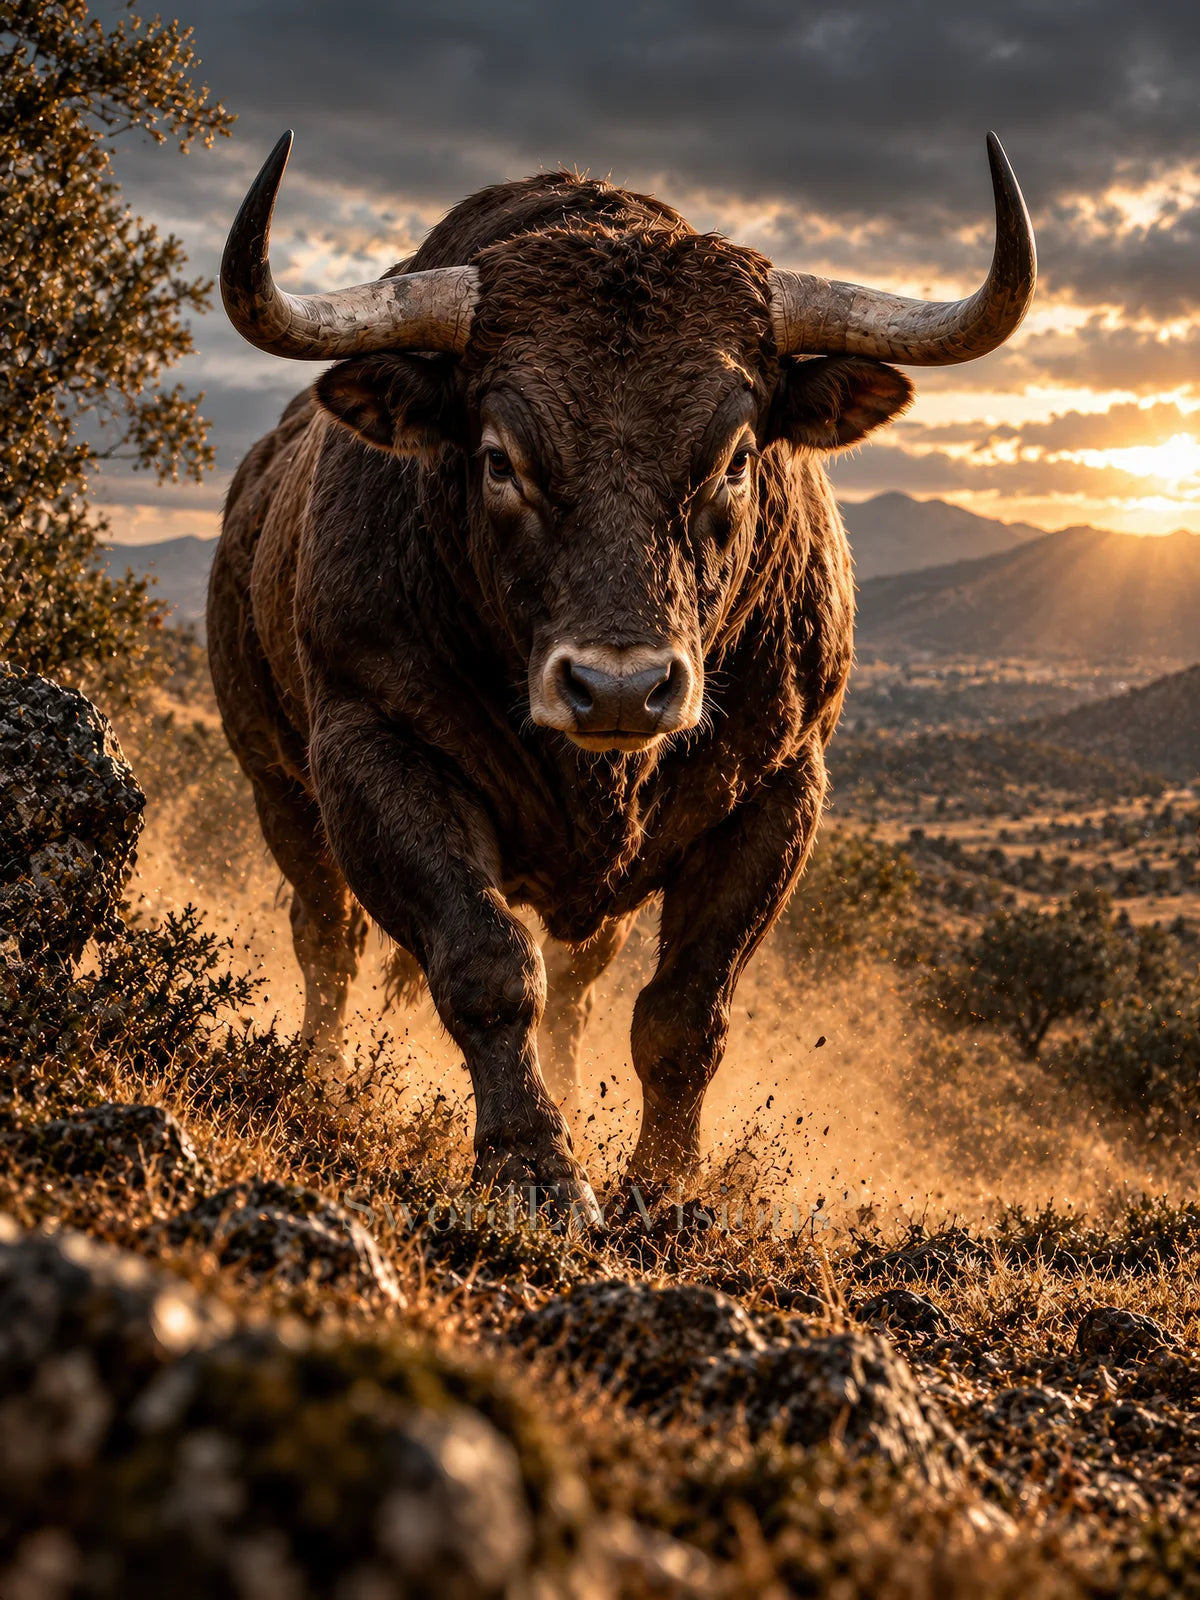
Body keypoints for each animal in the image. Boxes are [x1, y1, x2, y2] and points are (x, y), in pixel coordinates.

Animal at [209, 131, 1034, 1220]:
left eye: (735, 456)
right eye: (499, 458)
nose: (616, 689)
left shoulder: (778, 792)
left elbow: (683, 1014)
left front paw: (664, 1187)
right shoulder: (372, 751)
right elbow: (485, 964)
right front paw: (536, 1167)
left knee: (578, 982)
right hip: (276, 782)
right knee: (329, 935)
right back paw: (320, 1071)